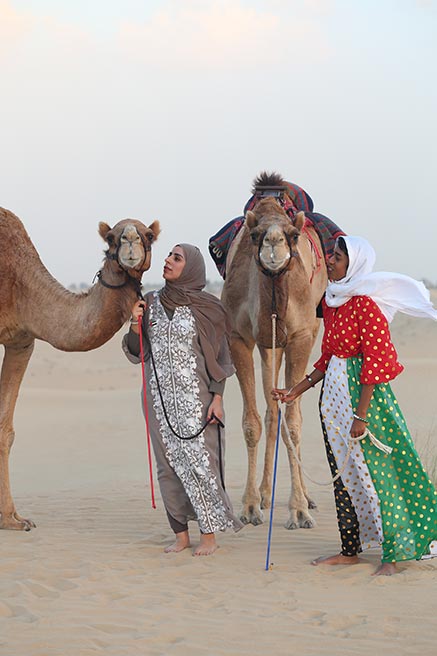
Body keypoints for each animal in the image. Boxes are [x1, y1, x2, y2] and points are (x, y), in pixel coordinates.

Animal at [0, 208, 160, 532]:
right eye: (111, 237)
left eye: (148, 235)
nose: (130, 240)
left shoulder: (21, 342)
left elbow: (5, 428)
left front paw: (12, 519)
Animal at [221, 177, 328, 532]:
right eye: (255, 236)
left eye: (293, 235)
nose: (273, 243)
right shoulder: (239, 337)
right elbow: (251, 422)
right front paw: (250, 506)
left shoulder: (300, 337)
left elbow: (294, 424)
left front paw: (299, 511)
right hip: (270, 345)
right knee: (271, 411)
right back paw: (265, 494)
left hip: (306, 331)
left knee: (289, 413)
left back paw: (305, 496)